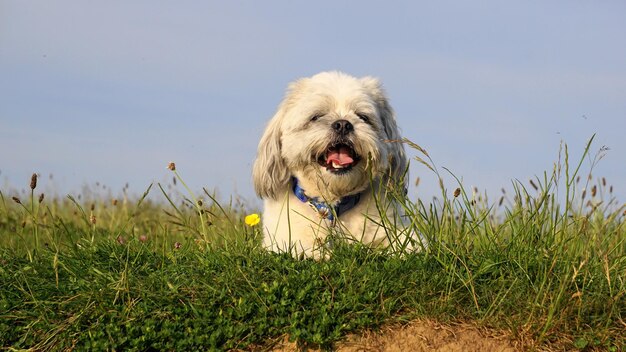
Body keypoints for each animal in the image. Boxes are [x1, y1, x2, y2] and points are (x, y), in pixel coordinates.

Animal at [251, 71, 412, 258]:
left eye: (363, 117)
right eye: (316, 117)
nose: (343, 124)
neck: (332, 208)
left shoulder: (397, 232)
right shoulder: (284, 242)